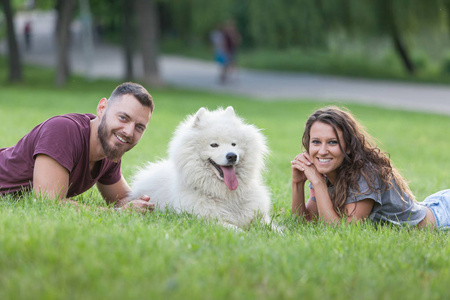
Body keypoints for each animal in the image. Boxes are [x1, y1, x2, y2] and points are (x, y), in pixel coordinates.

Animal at [127, 106, 274, 231]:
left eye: (234, 144)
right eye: (214, 145)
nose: (232, 156)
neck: (226, 196)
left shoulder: (261, 217)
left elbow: (273, 227)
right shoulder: (206, 219)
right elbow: (236, 229)